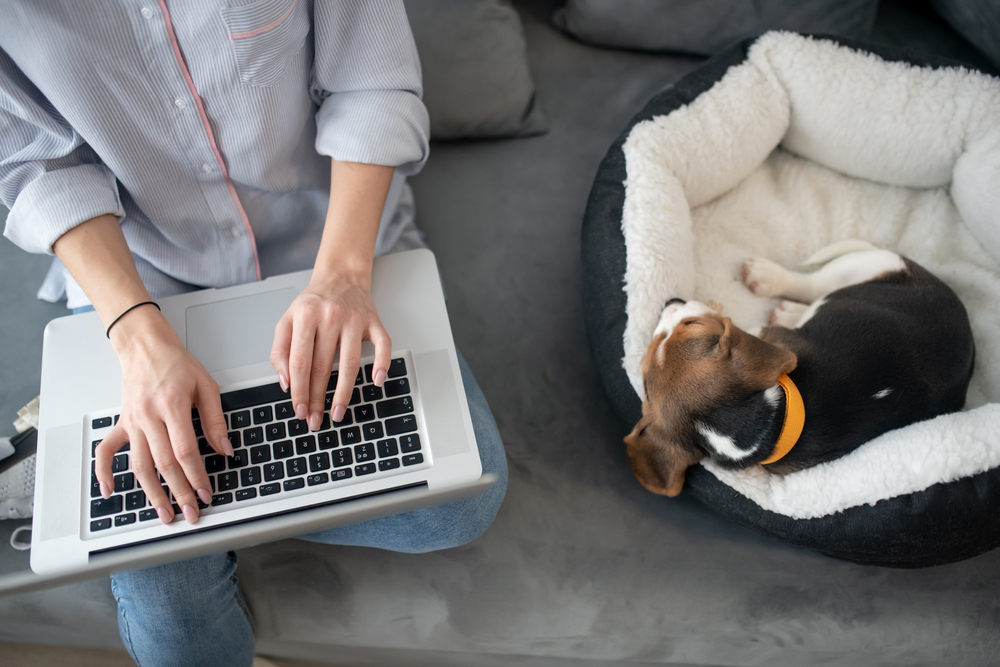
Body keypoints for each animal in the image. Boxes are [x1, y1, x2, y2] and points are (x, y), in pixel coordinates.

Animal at [624, 241, 976, 496]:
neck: (765, 423)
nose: (670, 302)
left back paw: (772, 284)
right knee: (813, 286)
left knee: (812, 284)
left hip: (865, 264)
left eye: (690, 325)